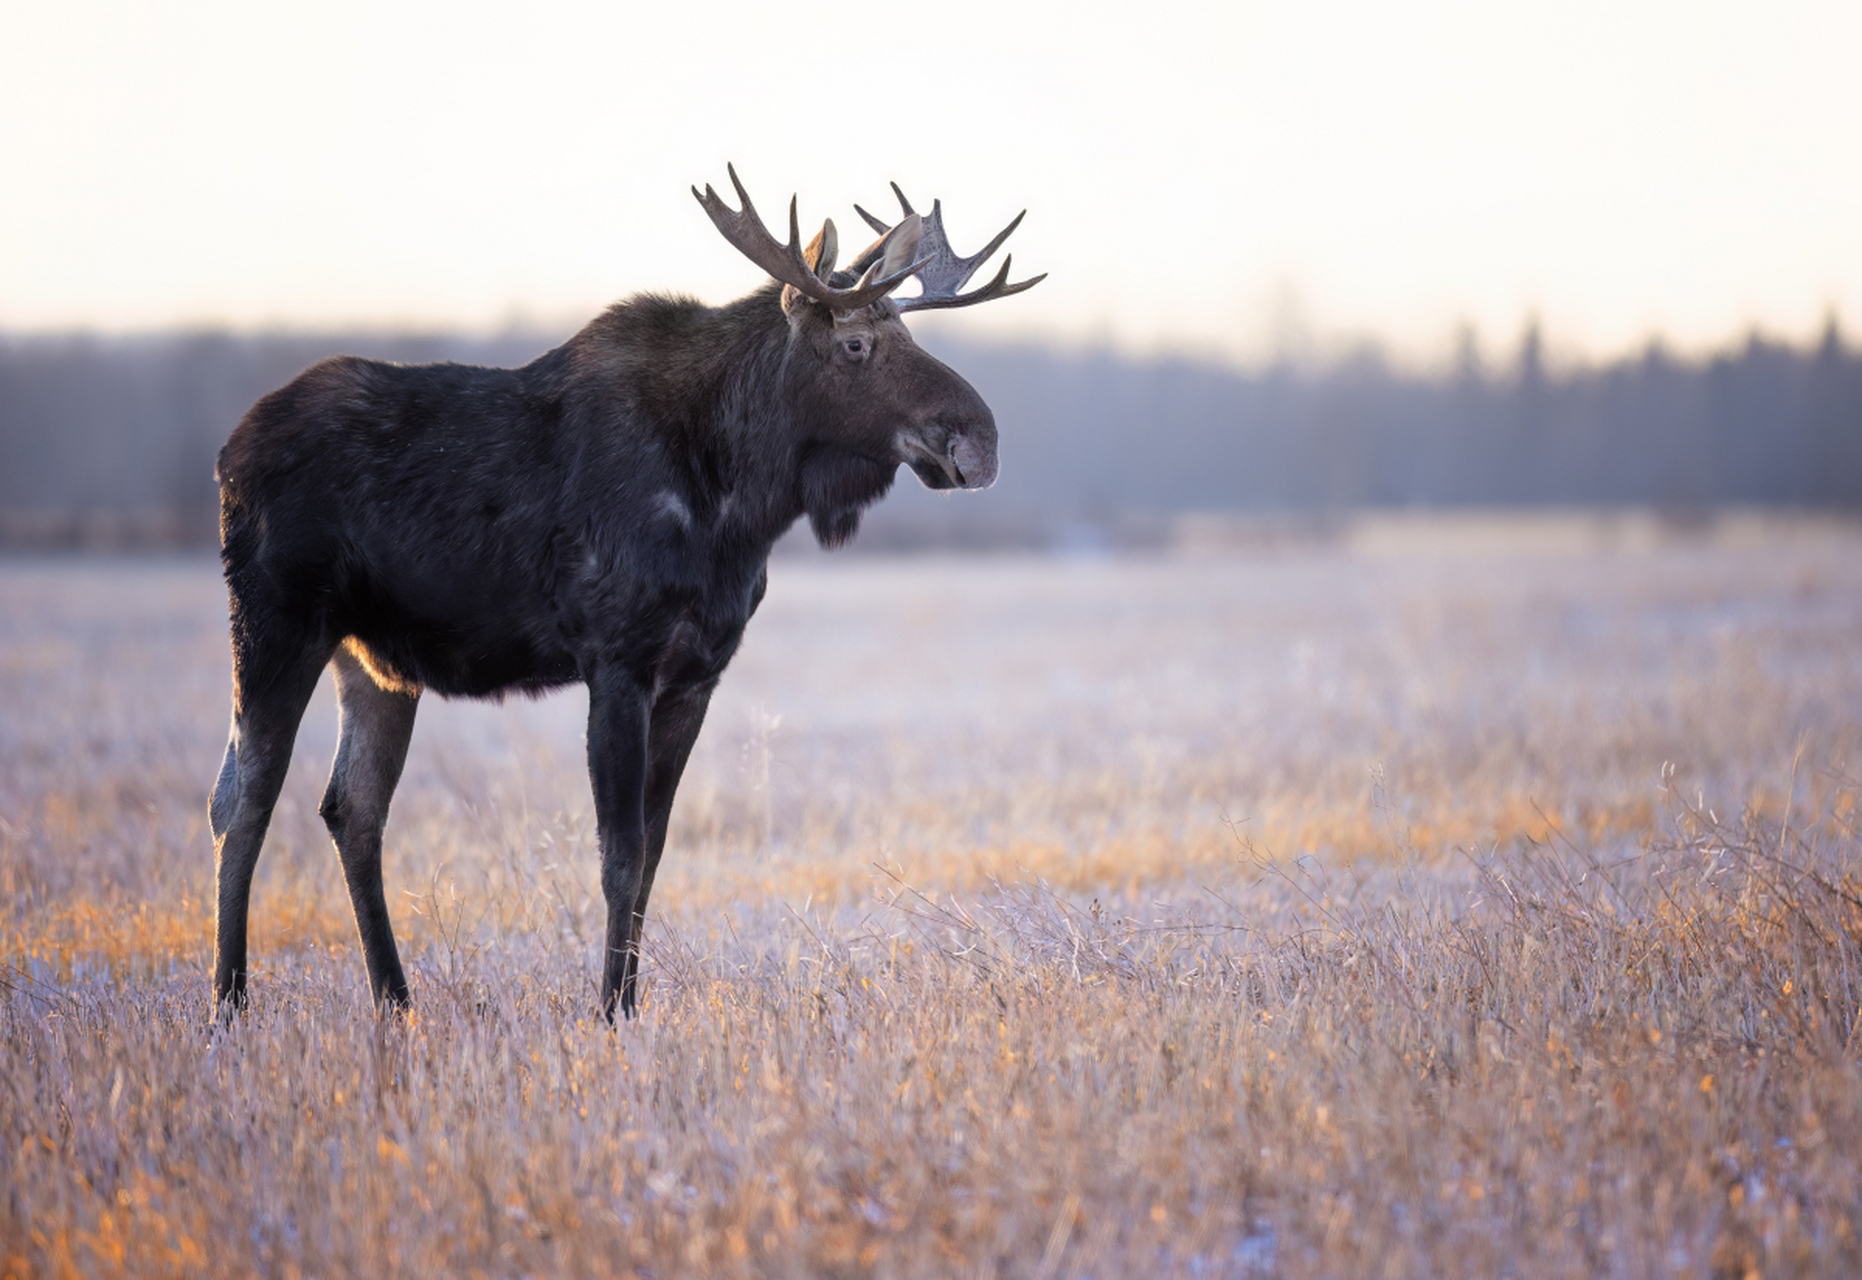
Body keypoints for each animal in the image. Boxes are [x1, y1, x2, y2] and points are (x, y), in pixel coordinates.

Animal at [211, 170, 1042, 1028]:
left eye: (907, 335)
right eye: (855, 345)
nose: (979, 442)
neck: (739, 503)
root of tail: (229, 453)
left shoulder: (696, 674)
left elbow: (653, 852)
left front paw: (629, 1004)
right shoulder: (617, 661)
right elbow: (619, 852)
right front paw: (609, 1009)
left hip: (377, 660)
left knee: (351, 808)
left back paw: (396, 1000)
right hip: (276, 621)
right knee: (243, 796)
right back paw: (231, 1002)